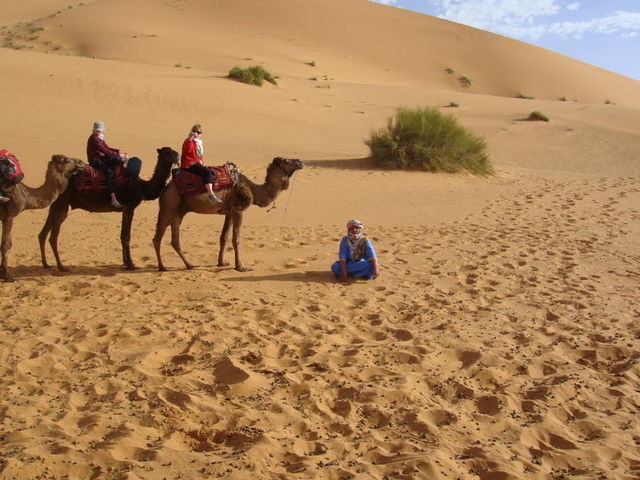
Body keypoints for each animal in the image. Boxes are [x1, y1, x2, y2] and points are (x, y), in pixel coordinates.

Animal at [39, 147, 179, 271]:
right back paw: (61, 267)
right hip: (62, 202)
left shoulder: (124, 209)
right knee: (53, 237)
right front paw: (131, 264)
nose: (177, 156)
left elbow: (122, 235)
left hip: (55, 203)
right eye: (167, 152)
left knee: (42, 234)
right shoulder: (129, 206)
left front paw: (125, 262)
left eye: (174, 151)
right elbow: (126, 236)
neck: (142, 186)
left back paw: (46, 264)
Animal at [153, 157, 304, 272]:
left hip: (178, 212)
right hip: (169, 206)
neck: (253, 190)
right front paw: (240, 267)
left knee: (170, 239)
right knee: (160, 238)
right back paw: (170, 266)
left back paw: (181, 265)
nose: (300, 162)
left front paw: (221, 262)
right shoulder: (238, 210)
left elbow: (223, 237)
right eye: (287, 160)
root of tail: (165, 188)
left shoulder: (229, 212)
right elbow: (235, 239)